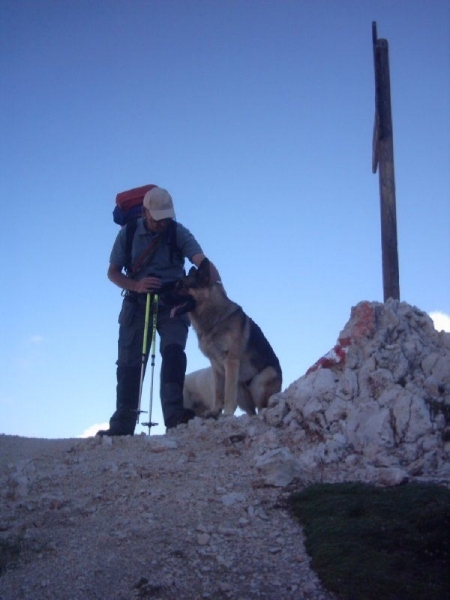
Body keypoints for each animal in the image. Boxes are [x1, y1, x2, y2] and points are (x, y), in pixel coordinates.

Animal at [173, 258, 282, 418]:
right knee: (251, 412)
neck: (215, 319)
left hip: (260, 380)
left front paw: (227, 413)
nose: (160, 295)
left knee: (262, 407)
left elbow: (228, 394)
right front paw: (215, 411)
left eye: (183, 286)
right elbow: (219, 392)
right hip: (241, 391)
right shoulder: (216, 366)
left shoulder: (230, 362)